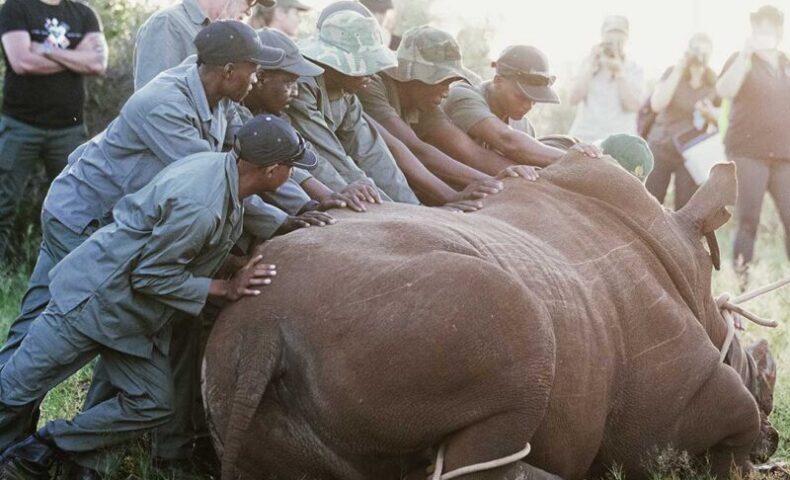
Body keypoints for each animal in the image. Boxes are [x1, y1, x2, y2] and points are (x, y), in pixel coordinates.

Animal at [202, 152, 778, 480]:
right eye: (758, 365)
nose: (775, 436)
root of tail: (262, 327)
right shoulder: (678, 397)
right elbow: (734, 423)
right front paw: (744, 455)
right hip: (432, 316)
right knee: (522, 348)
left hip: (231, 371)